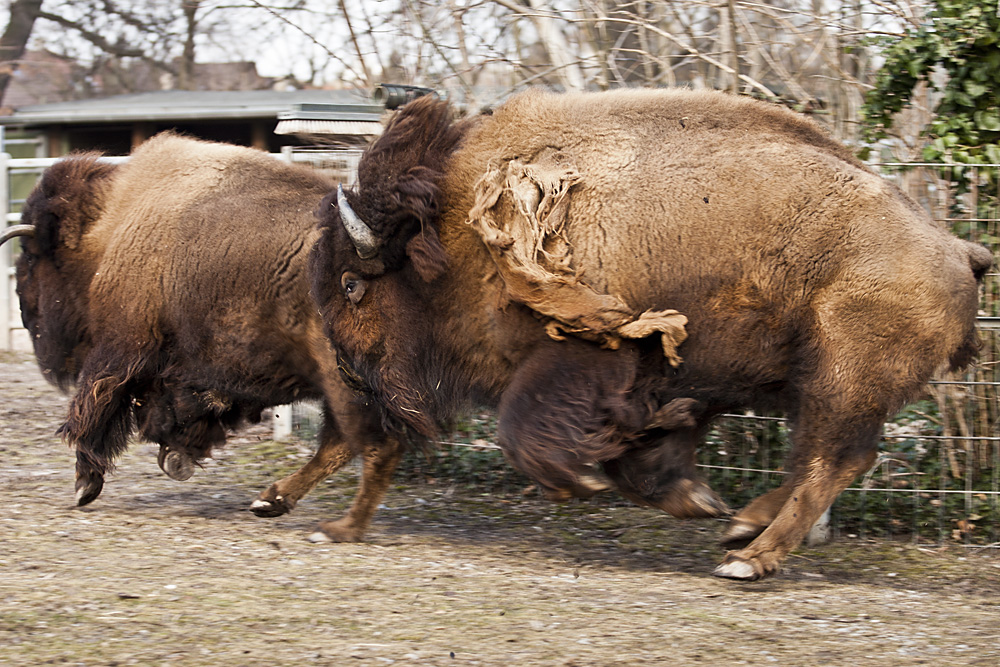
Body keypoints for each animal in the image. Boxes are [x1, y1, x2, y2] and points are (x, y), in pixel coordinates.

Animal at [3, 133, 404, 544]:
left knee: (373, 444)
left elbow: (94, 407)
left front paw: (86, 483)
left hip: (343, 380)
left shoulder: (121, 348)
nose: (22, 309)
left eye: (32, 258)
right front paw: (175, 458)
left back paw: (338, 529)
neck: (108, 227)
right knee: (344, 443)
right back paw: (271, 502)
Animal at [310, 88, 992, 580]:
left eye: (351, 284)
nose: (348, 375)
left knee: (831, 460)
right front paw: (692, 497)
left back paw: (748, 559)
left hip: (841, 380)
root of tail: (956, 249)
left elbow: (524, 431)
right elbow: (650, 447)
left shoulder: (577, 358)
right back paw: (739, 528)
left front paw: (584, 481)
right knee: (823, 460)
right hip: (820, 386)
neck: (458, 227)